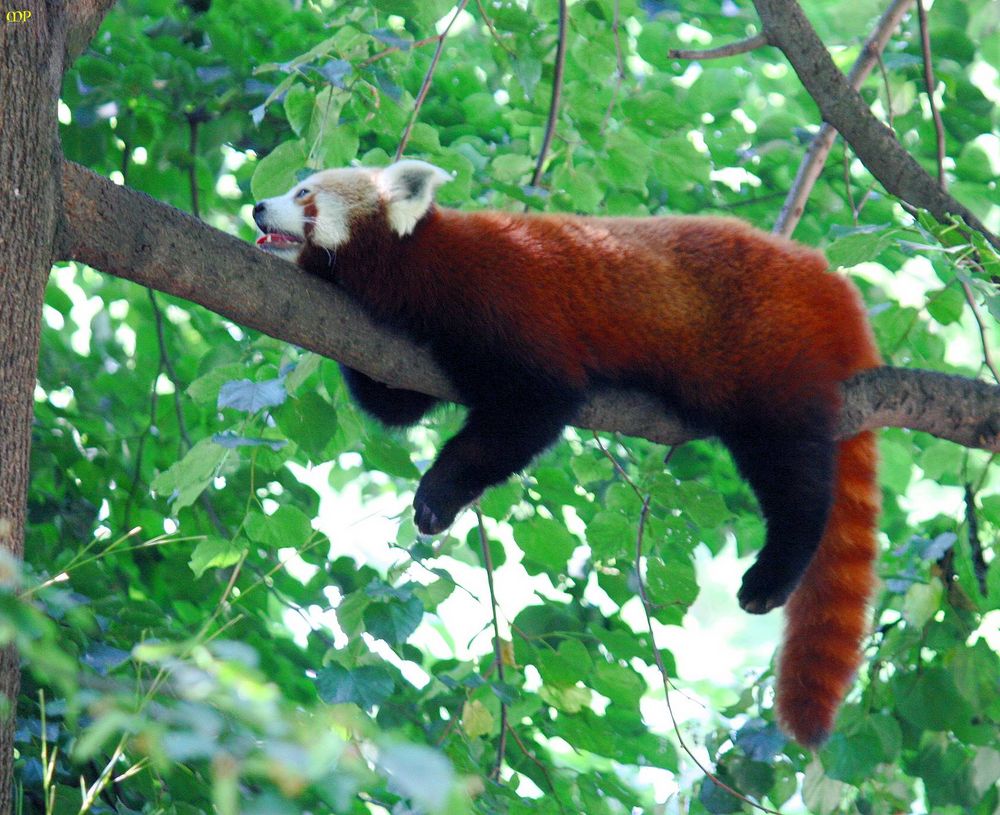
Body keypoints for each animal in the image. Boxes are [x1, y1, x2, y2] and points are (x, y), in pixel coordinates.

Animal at [256, 158, 884, 744]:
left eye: (303, 193)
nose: (259, 206)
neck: (420, 262)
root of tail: (827, 282)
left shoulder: (504, 304)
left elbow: (533, 410)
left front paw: (437, 496)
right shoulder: (410, 344)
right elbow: (396, 407)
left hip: (767, 357)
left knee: (794, 478)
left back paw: (773, 573)